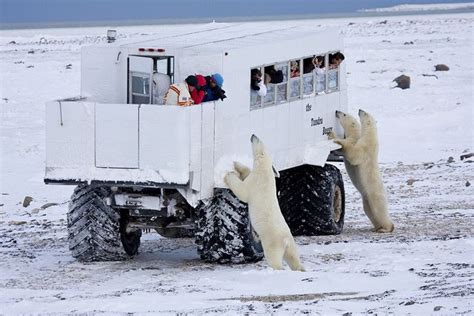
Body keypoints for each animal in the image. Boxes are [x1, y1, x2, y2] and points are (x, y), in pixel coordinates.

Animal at [225, 135, 306, 270]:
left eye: (258, 140)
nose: (252, 134)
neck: (265, 169)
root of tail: (285, 240)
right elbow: (246, 172)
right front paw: (237, 164)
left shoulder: (256, 181)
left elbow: (242, 191)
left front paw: (228, 174)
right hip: (291, 243)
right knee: (293, 257)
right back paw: (301, 269)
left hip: (272, 242)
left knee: (274, 259)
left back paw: (277, 269)